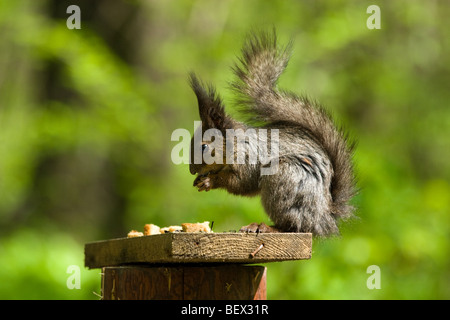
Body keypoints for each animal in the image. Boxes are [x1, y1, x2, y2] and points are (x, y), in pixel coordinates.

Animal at [188, 31, 356, 236]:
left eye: (204, 146)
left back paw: (265, 227)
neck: (235, 144)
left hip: (284, 181)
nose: (191, 170)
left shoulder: (249, 160)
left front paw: (210, 181)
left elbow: (241, 183)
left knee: (293, 227)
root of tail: (324, 218)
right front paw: (200, 180)